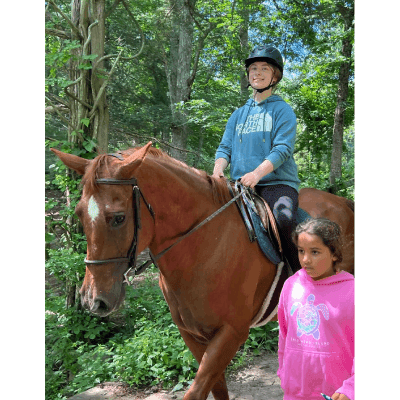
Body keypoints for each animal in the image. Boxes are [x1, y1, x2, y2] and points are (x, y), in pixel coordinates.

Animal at [51, 143, 354, 400]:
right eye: (79, 213)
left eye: (118, 218)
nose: (93, 300)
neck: (203, 248)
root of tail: (343, 203)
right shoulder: (192, 334)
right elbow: (216, 387)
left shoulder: (232, 332)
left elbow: (196, 391)